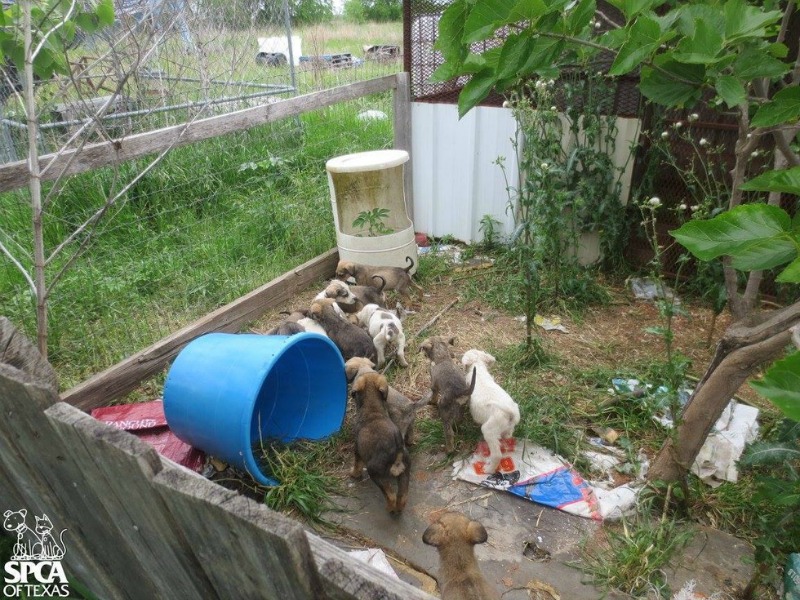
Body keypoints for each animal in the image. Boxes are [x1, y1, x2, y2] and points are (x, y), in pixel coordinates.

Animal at [352, 370, 412, 516]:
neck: (373, 408)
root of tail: (398, 450)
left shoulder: (357, 449)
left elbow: (357, 464)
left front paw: (354, 474)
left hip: (375, 472)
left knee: (391, 495)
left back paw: (390, 509)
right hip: (405, 472)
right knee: (402, 496)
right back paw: (399, 508)